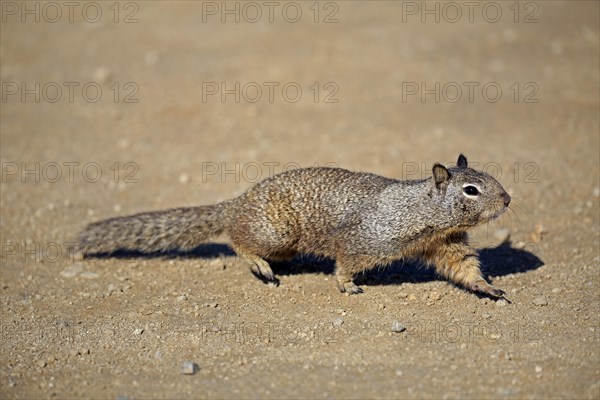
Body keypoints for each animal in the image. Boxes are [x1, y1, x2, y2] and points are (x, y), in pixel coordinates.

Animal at [78, 154, 510, 296]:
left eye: (489, 178)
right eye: (471, 189)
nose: (507, 200)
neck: (423, 212)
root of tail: (237, 202)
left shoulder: (448, 244)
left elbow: (464, 267)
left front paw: (487, 288)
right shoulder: (368, 239)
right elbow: (347, 261)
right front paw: (347, 285)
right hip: (277, 233)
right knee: (236, 240)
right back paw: (259, 265)